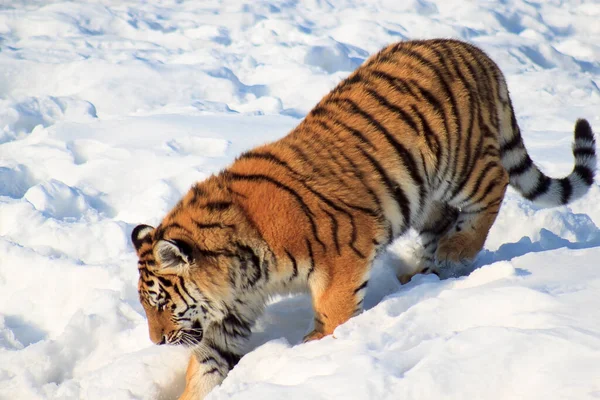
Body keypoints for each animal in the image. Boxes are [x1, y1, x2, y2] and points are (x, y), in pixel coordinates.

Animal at [131, 38, 596, 400]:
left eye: (161, 304)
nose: (157, 342)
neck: (240, 269)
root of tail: (478, 53)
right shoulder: (230, 312)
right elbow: (207, 364)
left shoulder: (342, 256)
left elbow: (333, 312)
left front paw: (315, 351)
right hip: (427, 199)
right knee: (442, 227)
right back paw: (427, 274)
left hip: (463, 167)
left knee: (494, 186)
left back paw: (455, 251)